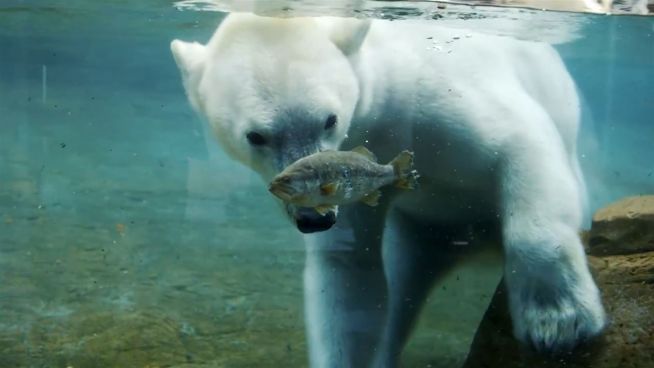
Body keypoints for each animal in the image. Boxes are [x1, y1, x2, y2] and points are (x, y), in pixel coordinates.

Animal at [170, 12, 608, 366]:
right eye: (256, 136)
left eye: (329, 119)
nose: (314, 218)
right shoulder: (356, 180)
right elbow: (350, 275)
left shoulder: (439, 95)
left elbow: (521, 146)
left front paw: (559, 322)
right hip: (423, 232)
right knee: (401, 289)